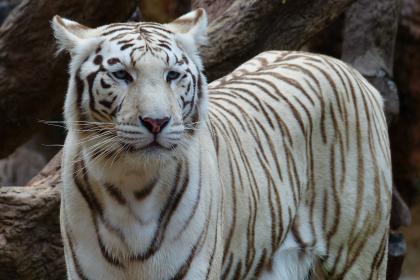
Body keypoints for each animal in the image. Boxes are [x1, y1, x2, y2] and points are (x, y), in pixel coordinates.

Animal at [53, 7, 394, 278]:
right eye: (122, 75)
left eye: (172, 75)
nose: (156, 122)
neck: (132, 186)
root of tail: (341, 66)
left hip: (360, 253)